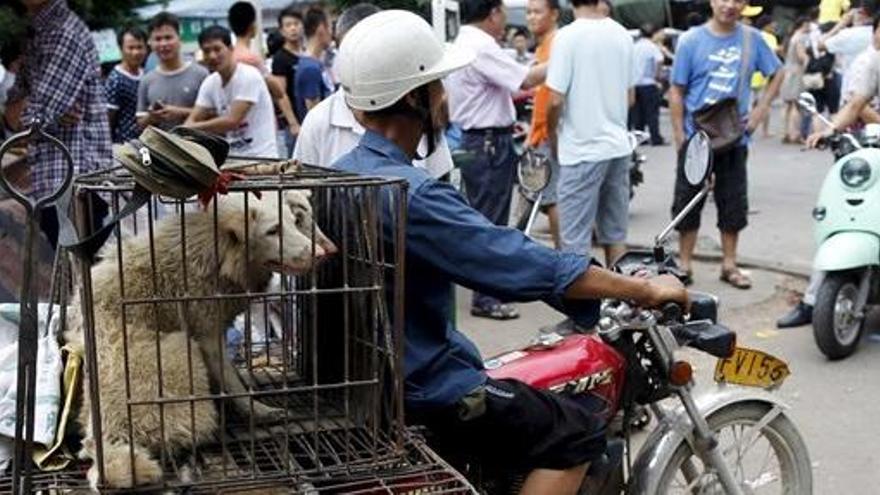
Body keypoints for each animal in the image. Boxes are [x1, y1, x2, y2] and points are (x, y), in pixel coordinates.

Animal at [62, 190, 336, 488]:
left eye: (294, 221)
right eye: (273, 231)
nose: (322, 253)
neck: (218, 250)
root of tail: (109, 439)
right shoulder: (207, 337)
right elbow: (235, 386)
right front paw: (258, 411)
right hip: (181, 348)